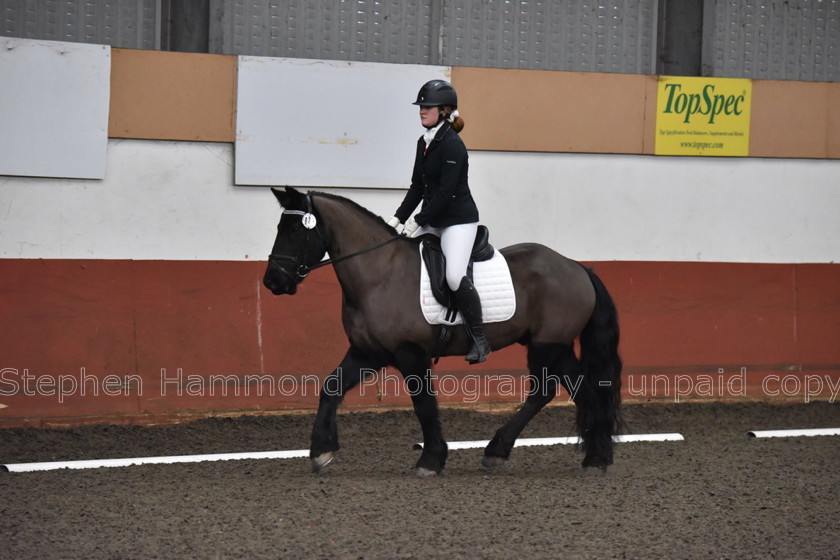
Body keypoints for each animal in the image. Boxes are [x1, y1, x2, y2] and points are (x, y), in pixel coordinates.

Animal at [264, 186, 624, 474]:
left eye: (294, 229)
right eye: (280, 226)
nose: (273, 281)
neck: (379, 274)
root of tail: (577, 267)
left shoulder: (410, 352)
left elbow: (424, 404)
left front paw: (430, 459)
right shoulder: (369, 352)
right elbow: (331, 388)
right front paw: (321, 452)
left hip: (550, 344)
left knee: (568, 390)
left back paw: (586, 457)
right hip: (548, 345)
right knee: (558, 390)